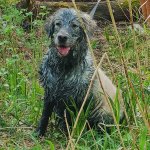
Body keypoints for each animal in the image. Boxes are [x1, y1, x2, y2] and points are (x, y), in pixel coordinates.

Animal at [36, 8, 124, 137]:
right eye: (58, 24)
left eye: (74, 25)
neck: (64, 68)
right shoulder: (50, 92)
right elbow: (44, 116)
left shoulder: (77, 100)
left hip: (103, 112)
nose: (62, 37)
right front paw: (38, 133)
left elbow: (72, 121)